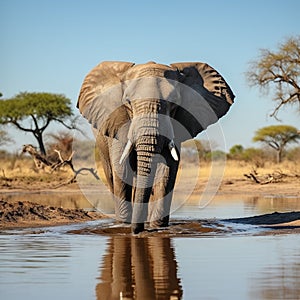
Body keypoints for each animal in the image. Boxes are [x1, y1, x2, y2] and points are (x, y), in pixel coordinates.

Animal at [77, 61, 234, 234]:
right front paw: (124, 226)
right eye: (128, 102)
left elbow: (166, 171)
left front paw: (157, 227)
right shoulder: (118, 123)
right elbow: (122, 170)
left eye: (174, 102)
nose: (136, 231)